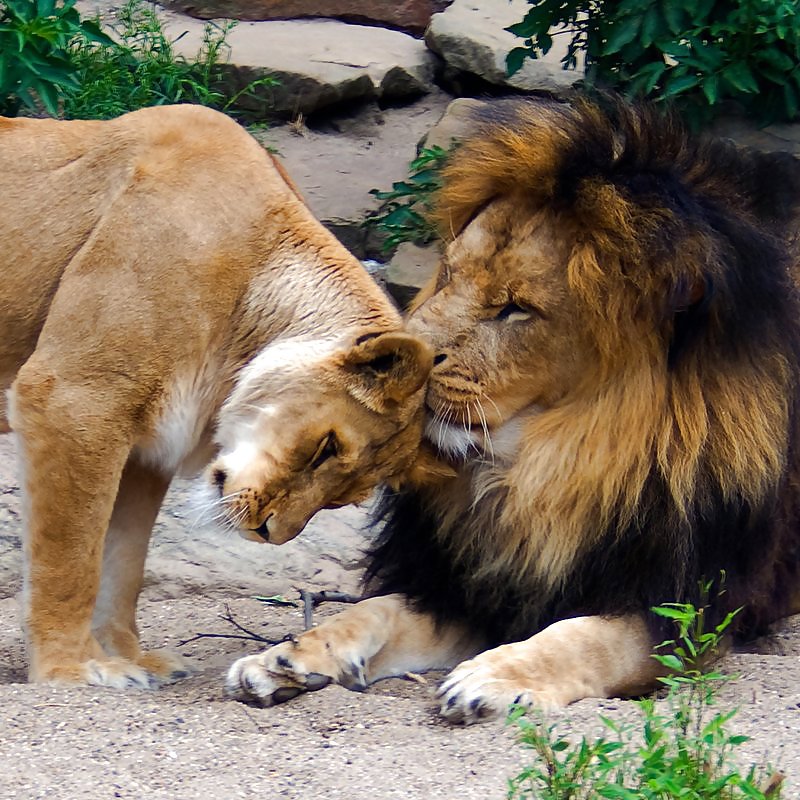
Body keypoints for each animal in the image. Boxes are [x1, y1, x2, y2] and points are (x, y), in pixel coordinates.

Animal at [0, 103, 432, 689]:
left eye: (344, 498)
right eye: (327, 448)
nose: (270, 533)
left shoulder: (147, 447)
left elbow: (122, 560)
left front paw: (130, 656)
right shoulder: (74, 396)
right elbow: (70, 555)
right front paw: (75, 666)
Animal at [225, 97, 800, 723]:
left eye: (516, 308)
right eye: (449, 274)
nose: (398, 364)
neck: (539, 469)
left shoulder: (686, 611)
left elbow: (586, 636)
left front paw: (495, 675)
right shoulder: (473, 584)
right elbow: (375, 610)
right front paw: (289, 657)